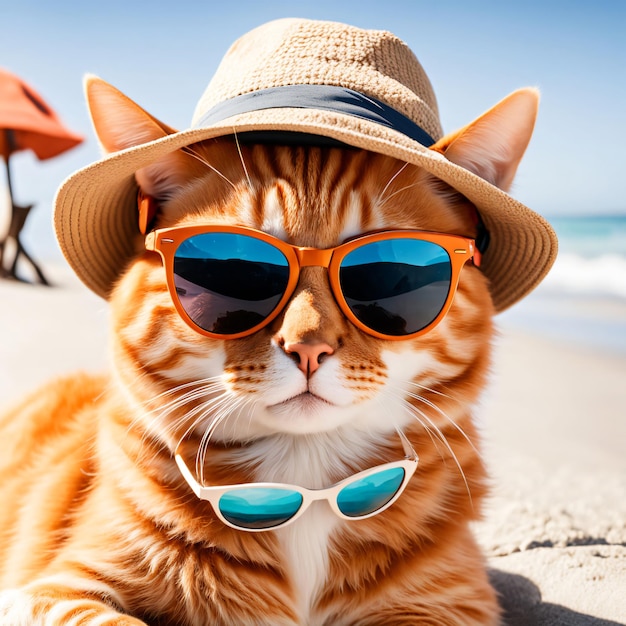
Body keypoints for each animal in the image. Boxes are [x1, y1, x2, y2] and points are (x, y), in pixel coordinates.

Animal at [0, 20, 544, 624]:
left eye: (388, 273)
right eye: (234, 268)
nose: (307, 348)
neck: (304, 482)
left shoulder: (451, 606)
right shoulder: (56, 591)